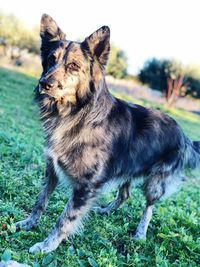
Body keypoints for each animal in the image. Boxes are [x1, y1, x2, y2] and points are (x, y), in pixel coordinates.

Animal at [15, 14, 200, 253]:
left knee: (149, 208)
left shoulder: (86, 186)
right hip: (128, 168)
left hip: (155, 183)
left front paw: (46, 246)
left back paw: (140, 234)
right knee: (125, 194)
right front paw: (29, 223)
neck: (75, 114)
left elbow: (65, 219)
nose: (44, 83)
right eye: (50, 59)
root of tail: (184, 136)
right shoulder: (51, 170)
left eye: (73, 66)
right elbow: (40, 201)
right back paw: (106, 210)